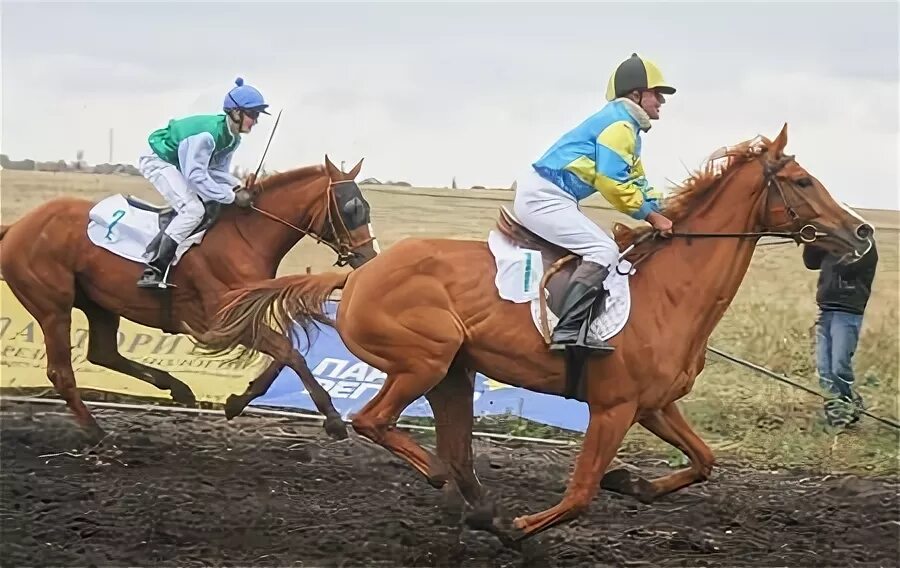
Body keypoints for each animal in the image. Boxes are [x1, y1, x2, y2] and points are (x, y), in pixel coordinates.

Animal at [0, 158, 378, 442]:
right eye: (351, 207)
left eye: (365, 207)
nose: (369, 258)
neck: (244, 237)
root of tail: (17, 226)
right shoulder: (219, 322)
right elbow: (291, 353)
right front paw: (333, 419)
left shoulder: (245, 316)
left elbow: (285, 356)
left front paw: (237, 401)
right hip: (53, 308)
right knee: (61, 371)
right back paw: (96, 431)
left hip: (100, 304)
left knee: (103, 353)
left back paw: (178, 389)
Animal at [192, 126, 872, 544]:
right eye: (804, 181)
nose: (862, 232)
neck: (672, 291)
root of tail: (356, 273)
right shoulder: (614, 407)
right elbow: (582, 492)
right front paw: (522, 527)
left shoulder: (653, 405)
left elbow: (704, 463)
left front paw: (633, 482)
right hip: (425, 360)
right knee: (376, 422)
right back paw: (462, 495)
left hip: (455, 372)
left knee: (458, 451)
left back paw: (475, 502)